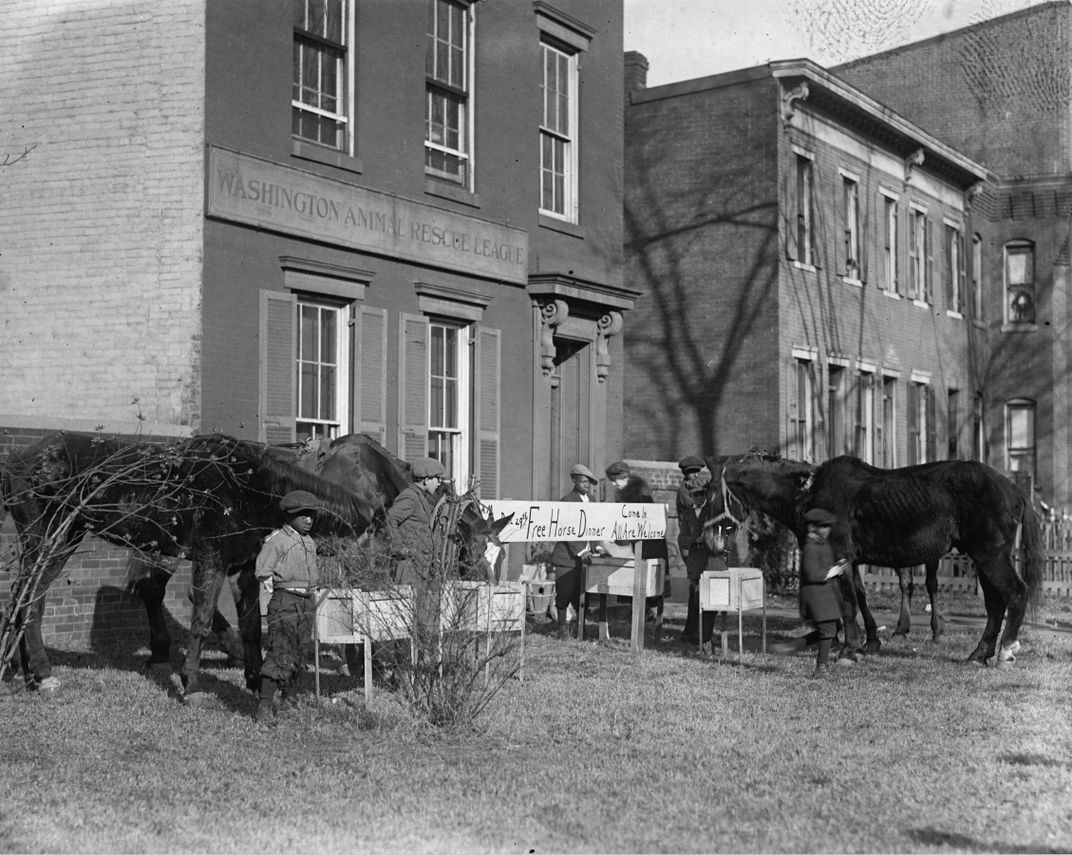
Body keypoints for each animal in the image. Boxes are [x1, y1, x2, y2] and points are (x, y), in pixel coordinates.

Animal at [0, 432, 377, 698]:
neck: (248, 487)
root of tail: (19, 460)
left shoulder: (245, 570)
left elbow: (251, 628)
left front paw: (255, 682)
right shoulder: (210, 560)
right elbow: (202, 619)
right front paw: (191, 685)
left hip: (59, 541)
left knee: (23, 598)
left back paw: (20, 673)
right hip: (49, 541)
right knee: (30, 601)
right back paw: (44, 675)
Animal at [707, 452, 1041, 664]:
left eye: (708, 493)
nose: (711, 540)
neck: (809, 493)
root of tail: (1014, 489)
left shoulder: (838, 555)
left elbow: (847, 602)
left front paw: (849, 650)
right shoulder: (848, 561)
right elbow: (858, 597)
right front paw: (863, 643)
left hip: (990, 556)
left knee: (1015, 593)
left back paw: (1005, 651)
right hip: (984, 558)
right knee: (995, 605)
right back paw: (978, 655)